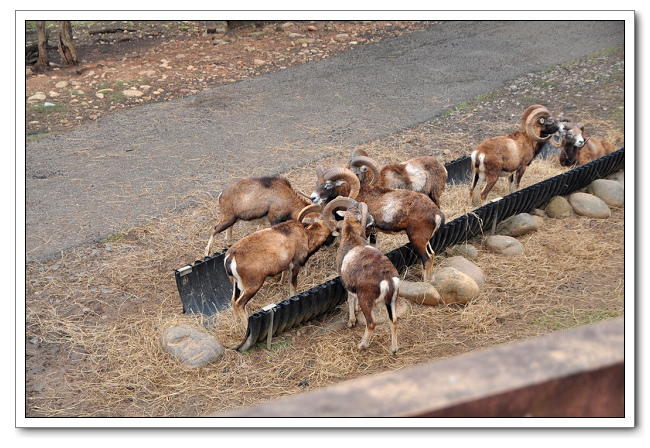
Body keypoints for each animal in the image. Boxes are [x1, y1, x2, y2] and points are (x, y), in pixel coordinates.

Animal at [326, 198, 398, 356]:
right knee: (394, 320)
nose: (372, 220)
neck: (351, 236)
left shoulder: (346, 284)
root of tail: (387, 279)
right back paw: (394, 350)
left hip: (367, 302)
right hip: (391, 302)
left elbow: (350, 299)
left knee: (371, 323)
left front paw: (351, 322)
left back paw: (362, 345)